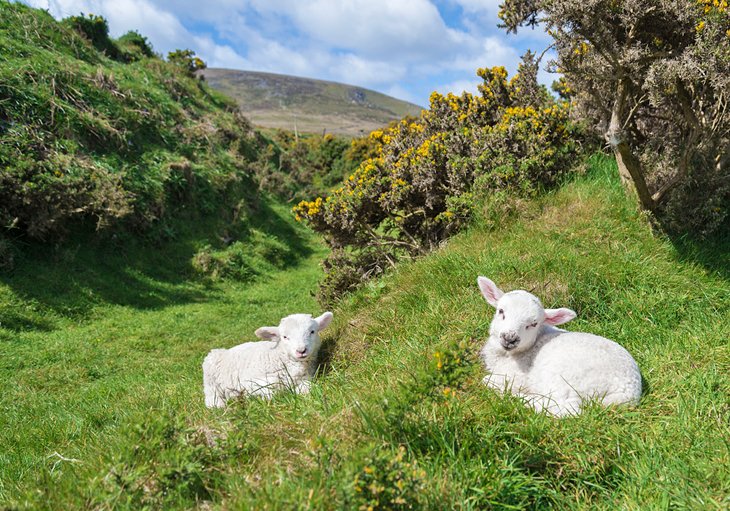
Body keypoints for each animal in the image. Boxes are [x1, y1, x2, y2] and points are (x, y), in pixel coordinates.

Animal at [202, 312, 332, 408]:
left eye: (312, 331)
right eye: (285, 337)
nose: (301, 350)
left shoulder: (306, 378)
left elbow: (307, 388)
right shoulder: (247, 381)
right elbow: (272, 387)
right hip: (210, 377)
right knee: (211, 395)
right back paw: (219, 404)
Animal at [478, 278, 636, 418]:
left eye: (534, 324)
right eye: (501, 311)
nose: (510, 338)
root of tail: (628, 393)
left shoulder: (517, 376)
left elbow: (487, 380)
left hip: (567, 381)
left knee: (565, 409)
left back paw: (518, 398)